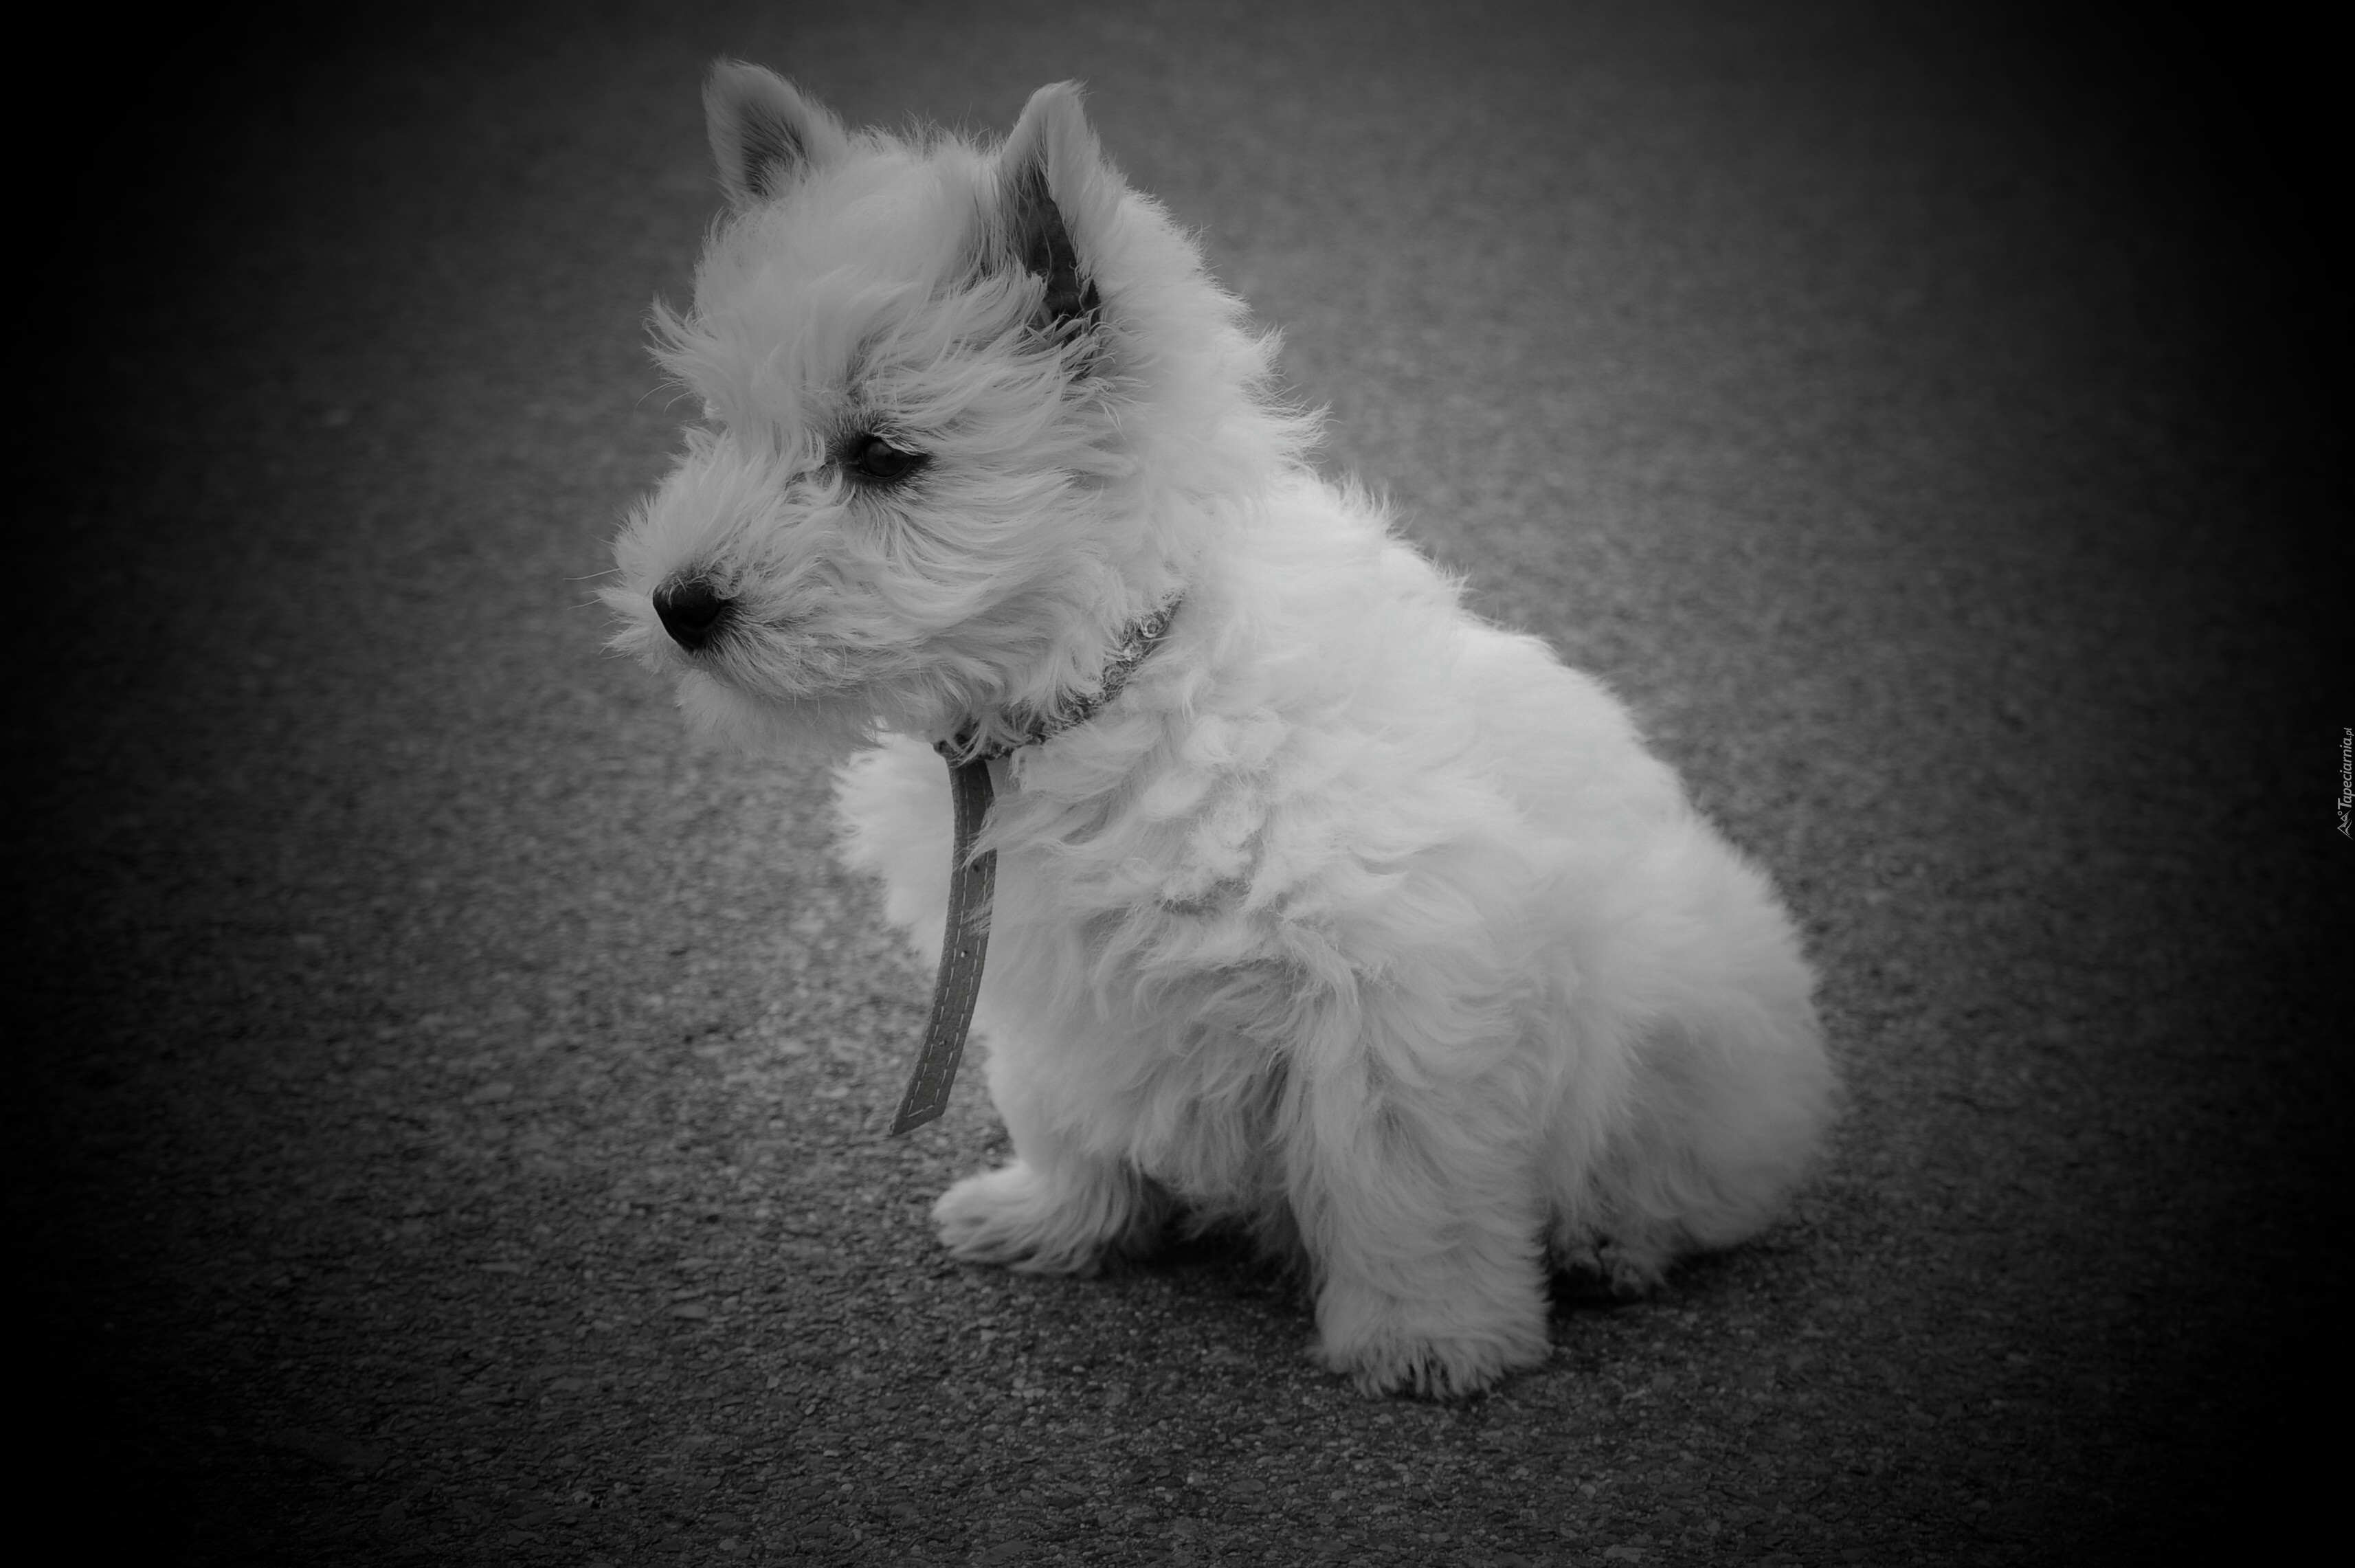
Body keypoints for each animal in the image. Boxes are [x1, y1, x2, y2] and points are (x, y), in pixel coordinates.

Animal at [612, 61, 1837, 1393]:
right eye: (719, 423)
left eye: (884, 455)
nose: (679, 606)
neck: (1103, 680)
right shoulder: (1042, 977)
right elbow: (1061, 1108)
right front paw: (1057, 1219)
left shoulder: (1394, 983)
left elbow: (1402, 1181)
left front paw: (1426, 1336)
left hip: (1693, 1015)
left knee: (1695, 1182)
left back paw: (1616, 1241)